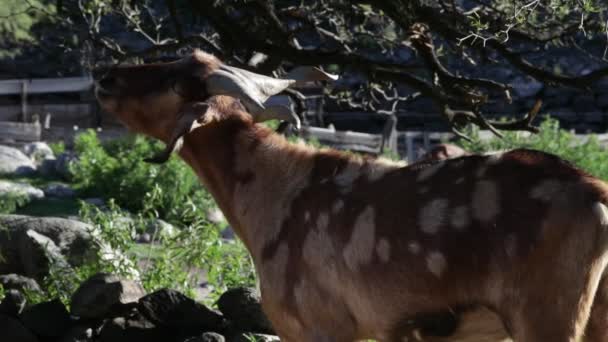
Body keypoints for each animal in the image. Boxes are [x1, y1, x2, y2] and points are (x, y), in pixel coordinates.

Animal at [92, 50, 608, 342]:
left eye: (179, 81)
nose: (105, 77)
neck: (272, 193)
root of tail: (598, 195)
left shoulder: (322, 324)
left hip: (546, 316)